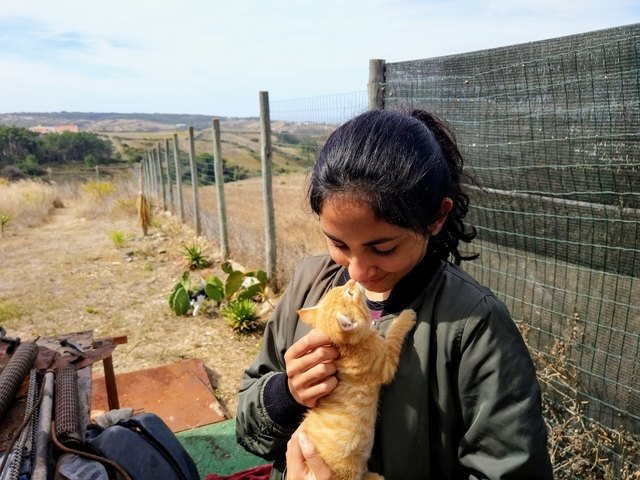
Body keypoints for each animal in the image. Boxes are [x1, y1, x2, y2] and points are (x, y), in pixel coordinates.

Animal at [296, 278, 416, 480]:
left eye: (342, 289)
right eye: (350, 294)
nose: (353, 280)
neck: (346, 348)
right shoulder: (386, 366)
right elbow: (394, 336)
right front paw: (405, 317)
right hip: (347, 469)